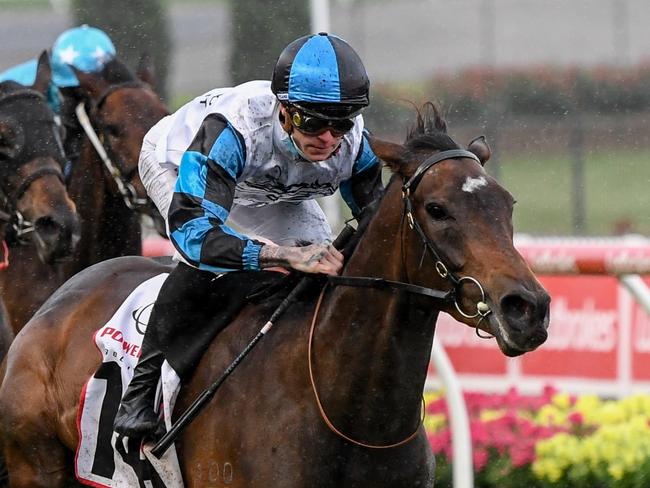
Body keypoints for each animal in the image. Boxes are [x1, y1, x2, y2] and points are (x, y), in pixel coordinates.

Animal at [0, 104, 548, 488]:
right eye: (437, 209)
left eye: (507, 203)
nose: (528, 308)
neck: (353, 414)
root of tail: (52, 307)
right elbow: (196, 228)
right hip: (35, 464)